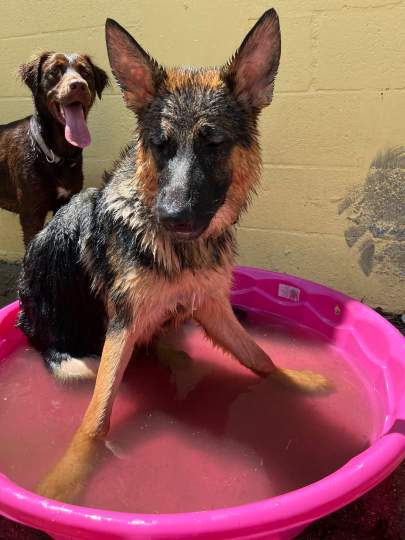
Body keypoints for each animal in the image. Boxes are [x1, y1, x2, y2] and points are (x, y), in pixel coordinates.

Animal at [0, 51, 109, 246]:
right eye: (54, 71)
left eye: (86, 73)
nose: (79, 85)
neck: (56, 154)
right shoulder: (31, 214)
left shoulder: (66, 202)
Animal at [19, 10, 326, 504]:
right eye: (160, 145)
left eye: (213, 143)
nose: (171, 217)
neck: (182, 251)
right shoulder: (122, 327)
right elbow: (96, 418)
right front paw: (67, 478)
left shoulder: (212, 306)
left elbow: (260, 356)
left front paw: (297, 382)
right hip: (72, 353)